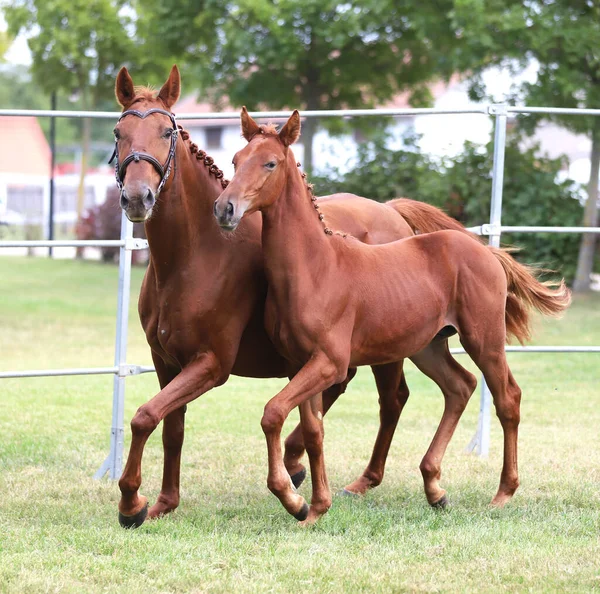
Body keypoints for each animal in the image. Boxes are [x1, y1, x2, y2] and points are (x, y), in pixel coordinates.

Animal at [213, 108, 568, 520]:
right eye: (235, 160)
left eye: (270, 163)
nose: (224, 209)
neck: (314, 268)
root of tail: (485, 251)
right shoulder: (300, 364)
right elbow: (314, 431)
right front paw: (316, 507)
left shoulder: (329, 363)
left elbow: (272, 413)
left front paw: (292, 499)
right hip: (427, 346)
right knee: (459, 386)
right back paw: (434, 487)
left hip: (484, 340)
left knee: (506, 398)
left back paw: (502, 493)